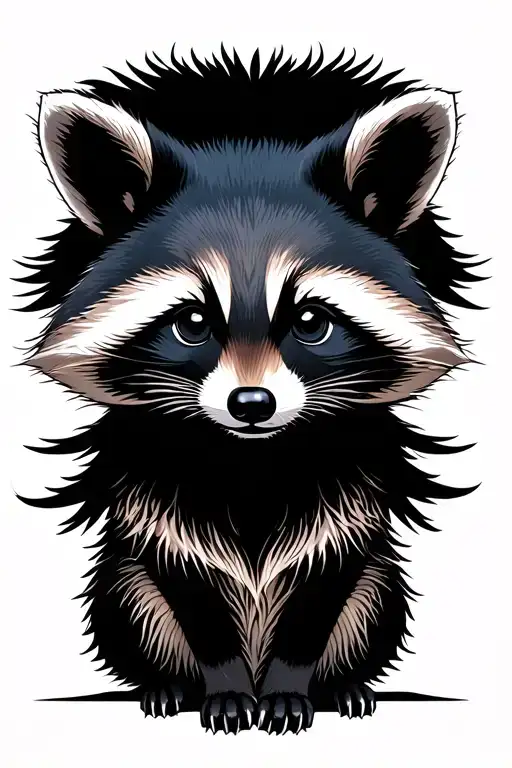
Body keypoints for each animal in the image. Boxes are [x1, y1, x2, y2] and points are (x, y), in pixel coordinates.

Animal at [19, 46, 481, 734]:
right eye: (192, 323)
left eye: (311, 321)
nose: (252, 404)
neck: (251, 461)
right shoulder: (155, 504)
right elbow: (188, 590)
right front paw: (224, 686)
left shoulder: (350, 502)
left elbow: (324, 588)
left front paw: (292, 684)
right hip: (123, 588)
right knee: (129, 603)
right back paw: (167, 683)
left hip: (379, 590)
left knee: (373, 600)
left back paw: (343, 683)